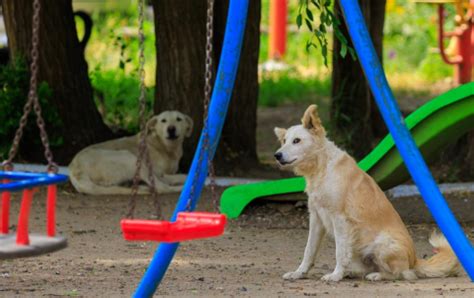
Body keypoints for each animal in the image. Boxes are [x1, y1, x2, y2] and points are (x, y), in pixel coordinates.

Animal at [272, 105, 462, 282]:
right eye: (284, 141)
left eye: (297, 140)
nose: (277, 155)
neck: (321, 168)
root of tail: (414, 260)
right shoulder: (316, 218)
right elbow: (309, 250)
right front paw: (299, 273)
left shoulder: (340, 219)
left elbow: (339, 252)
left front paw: (335, 275)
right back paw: (353, 273)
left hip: (383, 244)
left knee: (402, 274)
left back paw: (376, 275)